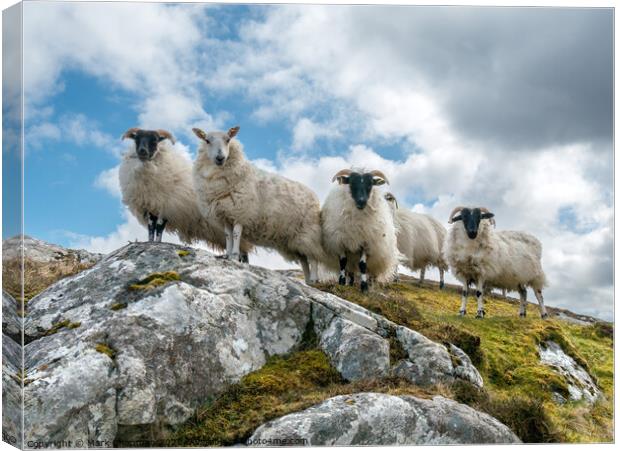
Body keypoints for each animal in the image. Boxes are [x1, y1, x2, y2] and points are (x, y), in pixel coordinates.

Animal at [117, 129, 253, 260]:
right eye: (136, 139)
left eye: (155, 140)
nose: (142, 151)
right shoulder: (150, 205)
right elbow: (151, 227)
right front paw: (150, 243)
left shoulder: (167, 206)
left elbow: (159, 227)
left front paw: (157, 243)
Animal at [193, 125, 330, 284]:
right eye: (207, 141)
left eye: (228, 140)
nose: (220, 158)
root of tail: (314, 196)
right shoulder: (225, 214)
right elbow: (228, 235)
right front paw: (227, 254)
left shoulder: (241, 211)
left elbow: (236, 234)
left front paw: (234, 255)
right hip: (295, 239)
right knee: (303, 260)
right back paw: (307, 281)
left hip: (309, 232)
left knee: (313, 257)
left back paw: (313, 279)